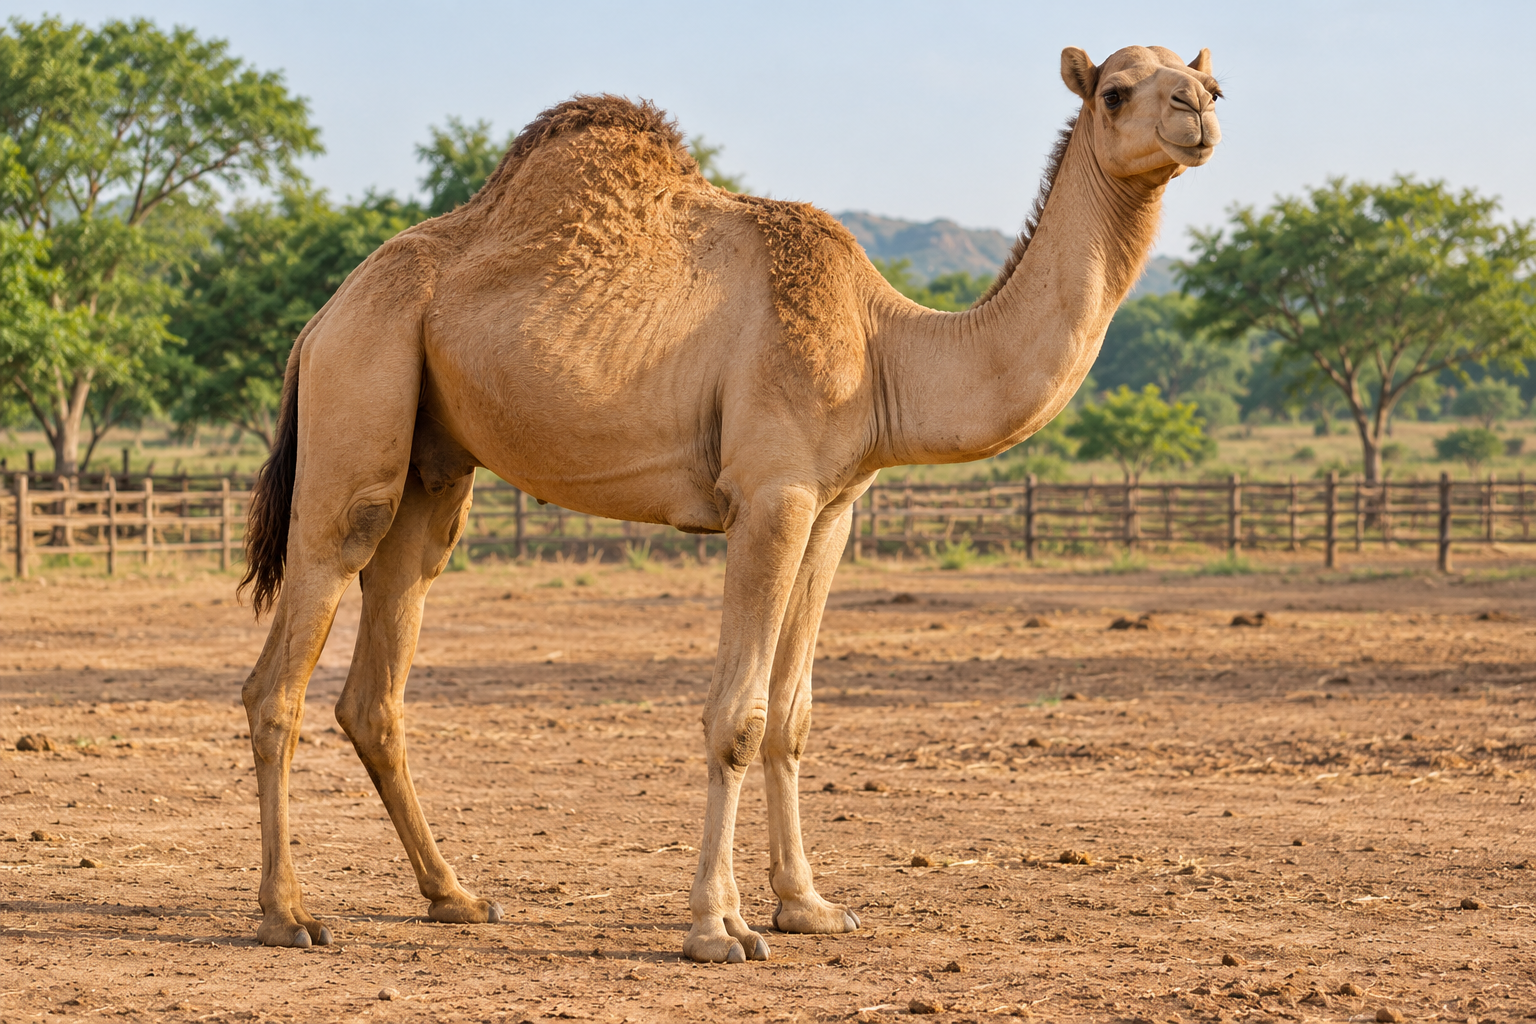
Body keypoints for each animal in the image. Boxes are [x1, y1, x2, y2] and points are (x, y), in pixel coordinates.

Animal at [237, 44, 1221, 963]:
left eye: (1205, 79)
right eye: (1115, 92)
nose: (1199, 110)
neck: (884, 346)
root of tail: (317, 323)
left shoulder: (832, 509)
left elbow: (792, 715)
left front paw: (807, 907)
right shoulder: (770, 496)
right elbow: (737, 719)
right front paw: (718, 927)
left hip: (434, 466)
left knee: (382, 666)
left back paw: (457, 896)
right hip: (361, 391)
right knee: (286, 658)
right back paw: (290, 915)